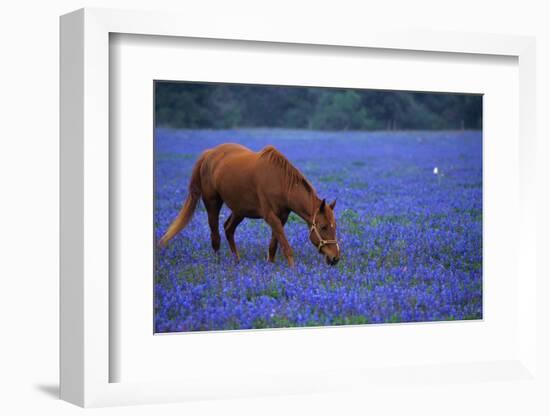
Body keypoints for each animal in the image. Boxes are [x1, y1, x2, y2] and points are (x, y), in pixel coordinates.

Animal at [157, 143, 342, 266]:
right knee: (215, 236)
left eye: (334, 226)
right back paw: (218, 265)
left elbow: (274, 245)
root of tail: (209, 154)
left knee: (228, 229)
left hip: (240, 210)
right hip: (212, 203)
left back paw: (237, 261)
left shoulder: (281, 217)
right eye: (323, 227)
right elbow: (285, 245)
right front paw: (293, 270)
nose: (335, 257)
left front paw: (271, 265)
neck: (281, 182)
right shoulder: (270, 216)